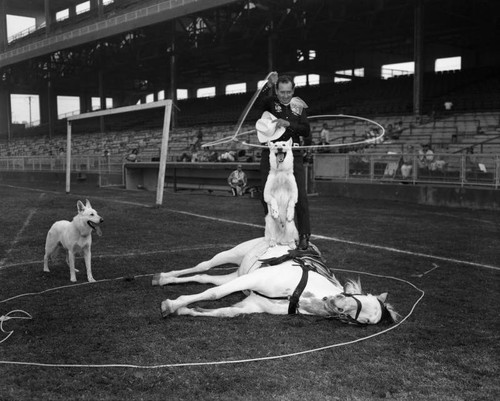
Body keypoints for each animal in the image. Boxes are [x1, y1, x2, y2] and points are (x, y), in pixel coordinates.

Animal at [153, 238, 398, 324]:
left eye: (363, 320)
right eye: (358, 297)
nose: (335, 304)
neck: (300, 294)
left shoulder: (251, 303)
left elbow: (223, 311)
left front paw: (182, 310)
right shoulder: (256, 278)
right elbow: (215, 295)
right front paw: (171, 304)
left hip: (238, 274)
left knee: (205, 277)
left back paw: (164, 279)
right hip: (232, 255)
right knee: (203, 266)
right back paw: (161, 276)